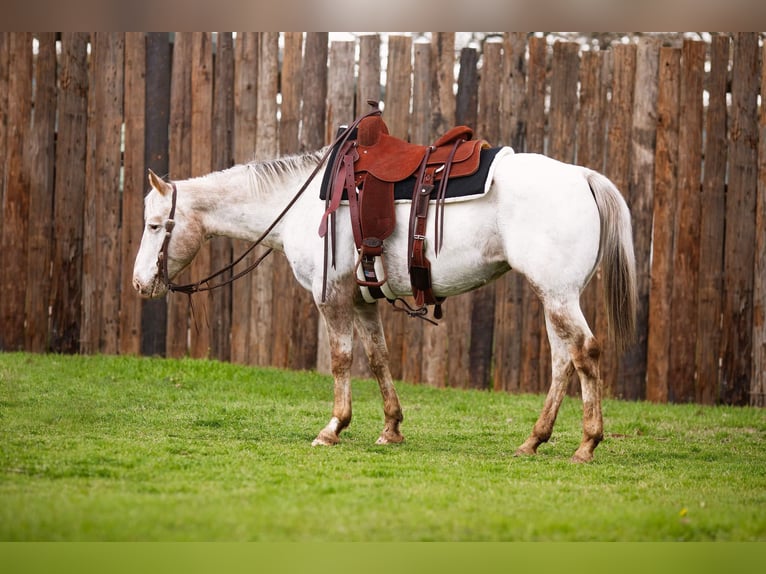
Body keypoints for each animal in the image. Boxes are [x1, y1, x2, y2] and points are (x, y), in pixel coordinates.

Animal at [135, 148, 640, 464]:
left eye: (156, 225)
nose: (141, 283)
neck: (302, 205)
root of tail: (583, 177)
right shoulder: (362, 301)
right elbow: (377, 358)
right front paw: (391, 428)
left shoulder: (330, 296)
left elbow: (341, 359)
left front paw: (333, 428)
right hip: (554, 294)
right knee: (562, 360)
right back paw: (533, 441)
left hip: (558, 294)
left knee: (585, 353)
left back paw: (586, 445)